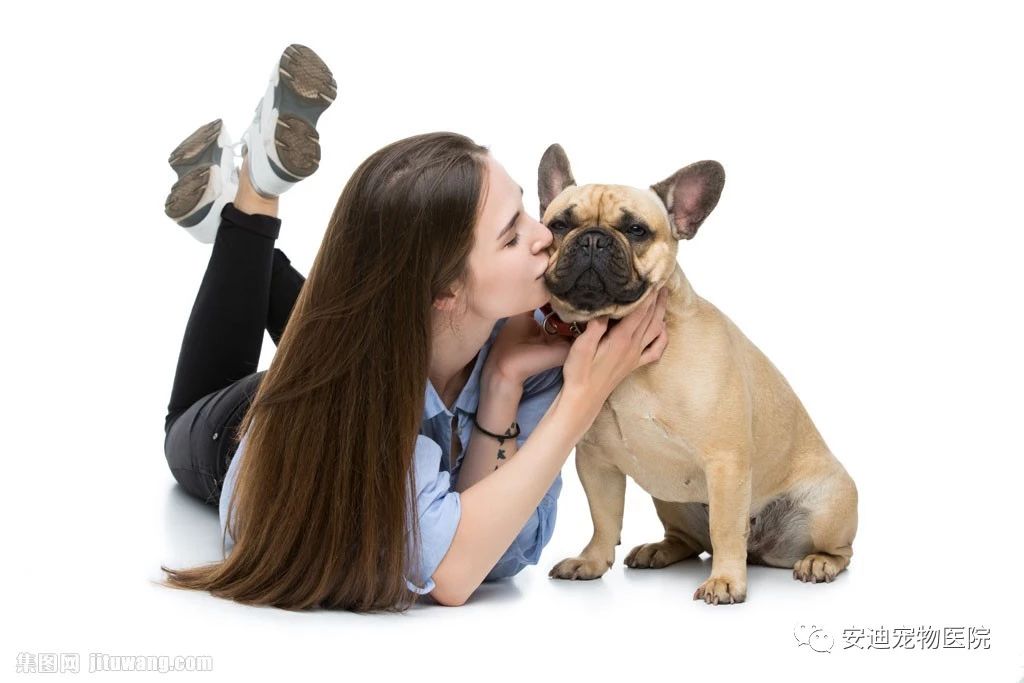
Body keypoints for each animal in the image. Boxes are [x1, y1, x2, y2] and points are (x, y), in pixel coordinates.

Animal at [537, 144, 858, 605]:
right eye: (559, 225)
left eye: (636, 230)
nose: (593, 239)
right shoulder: (596, 464)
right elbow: (604, 517)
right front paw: (592, 562)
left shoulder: (725, 460)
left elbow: (725, 528)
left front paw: (726, 581)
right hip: (668, 498)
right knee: (688, 540)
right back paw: (659, 549)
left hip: (827, 506)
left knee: (838, 549)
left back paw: (819, 563)